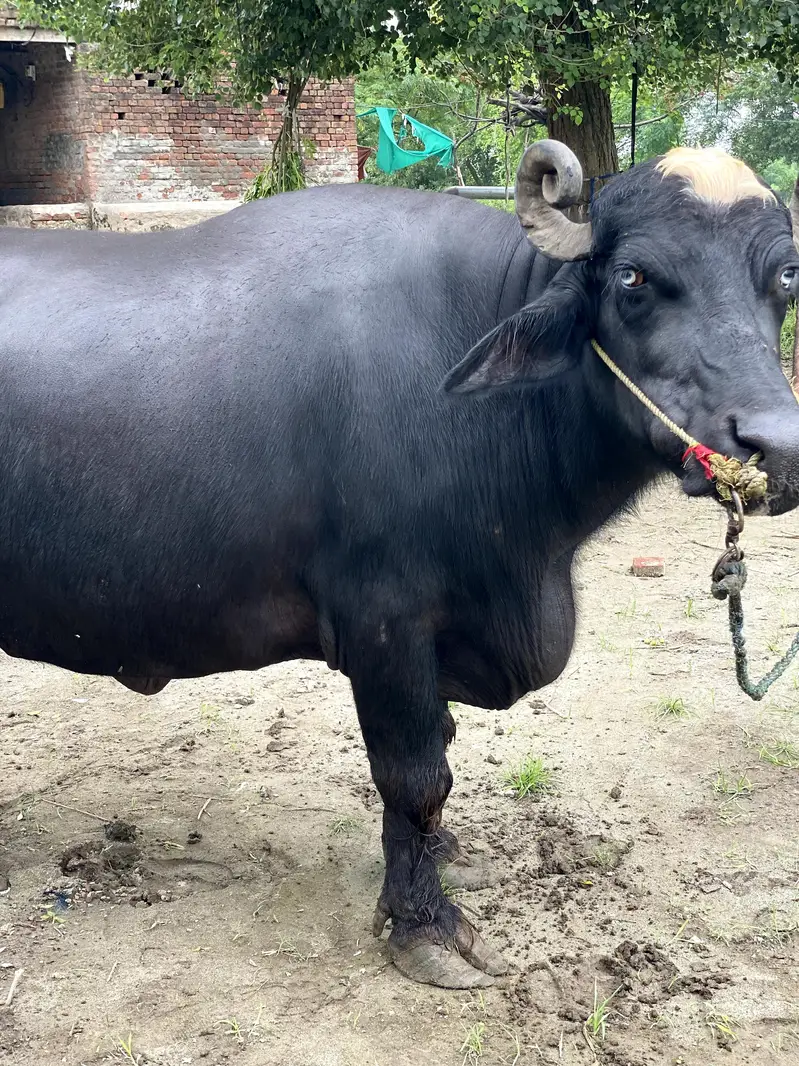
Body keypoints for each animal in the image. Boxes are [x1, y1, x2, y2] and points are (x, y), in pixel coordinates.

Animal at [2, 141, 799, 988]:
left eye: (785, 277)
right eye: (632, 277)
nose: (773, 447)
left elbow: (437, 748)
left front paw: (442, 853)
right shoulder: (385, 624)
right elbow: (414, 774)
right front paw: (424, 924)